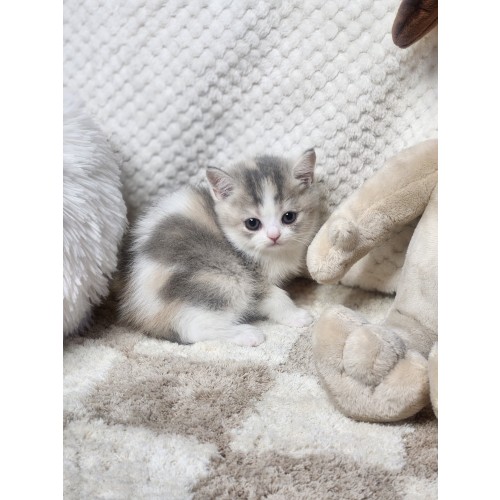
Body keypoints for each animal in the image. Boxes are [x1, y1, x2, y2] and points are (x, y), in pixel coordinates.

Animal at [119, 149, 323, 346]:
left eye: (289, 217)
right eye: (252, 223)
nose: (274, 236)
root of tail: (140, 306)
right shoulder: (252, 277)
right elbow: (276, 296)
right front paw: (296, 315)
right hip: (221, 276)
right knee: (192, 328)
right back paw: (246, 334)